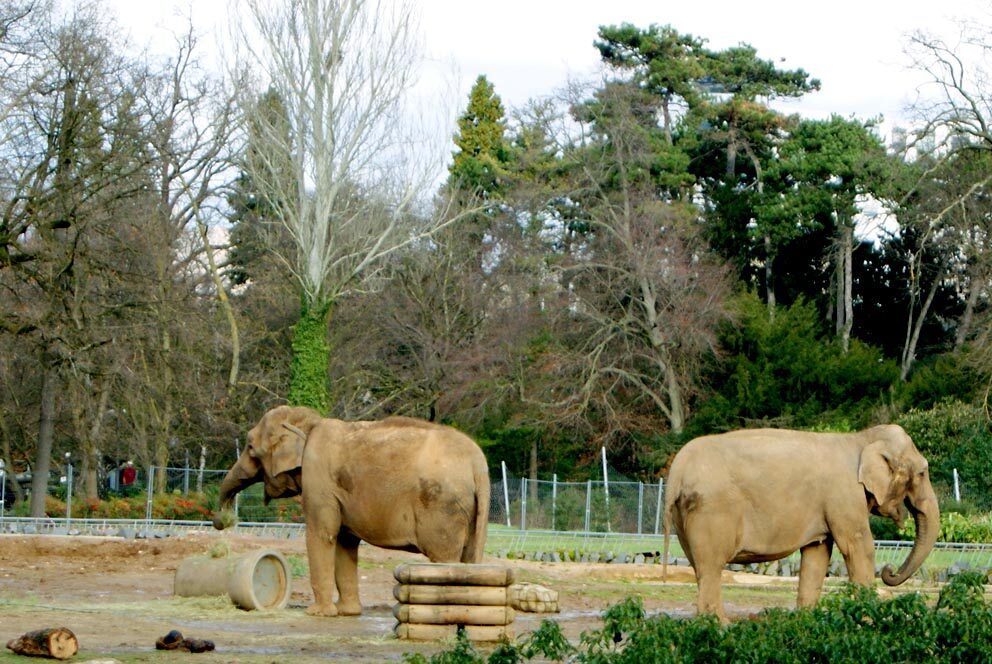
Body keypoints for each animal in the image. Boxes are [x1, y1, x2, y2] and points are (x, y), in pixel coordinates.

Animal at [211, 404, 490, 616]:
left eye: (250, 448)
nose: (221, 521)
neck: (309, 423)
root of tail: (478, 463)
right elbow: (345, 542)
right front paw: (348, 613)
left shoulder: (319, 481)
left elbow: (322, 534)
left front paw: (318, 614)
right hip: (470, 510)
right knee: (470, 557)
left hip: (443, 506)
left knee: (446, 558)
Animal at [664, 426, 940, 624]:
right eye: (922, 473)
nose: (889, 571)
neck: (861, 439)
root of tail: (677, 469)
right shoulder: (844, 494)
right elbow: (858, 546)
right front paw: (868, 620)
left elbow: (817, 554)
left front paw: (807, 619)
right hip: (712, 509)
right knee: (711, 566)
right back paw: (720, 626)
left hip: (684, 515)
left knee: (700, 566)